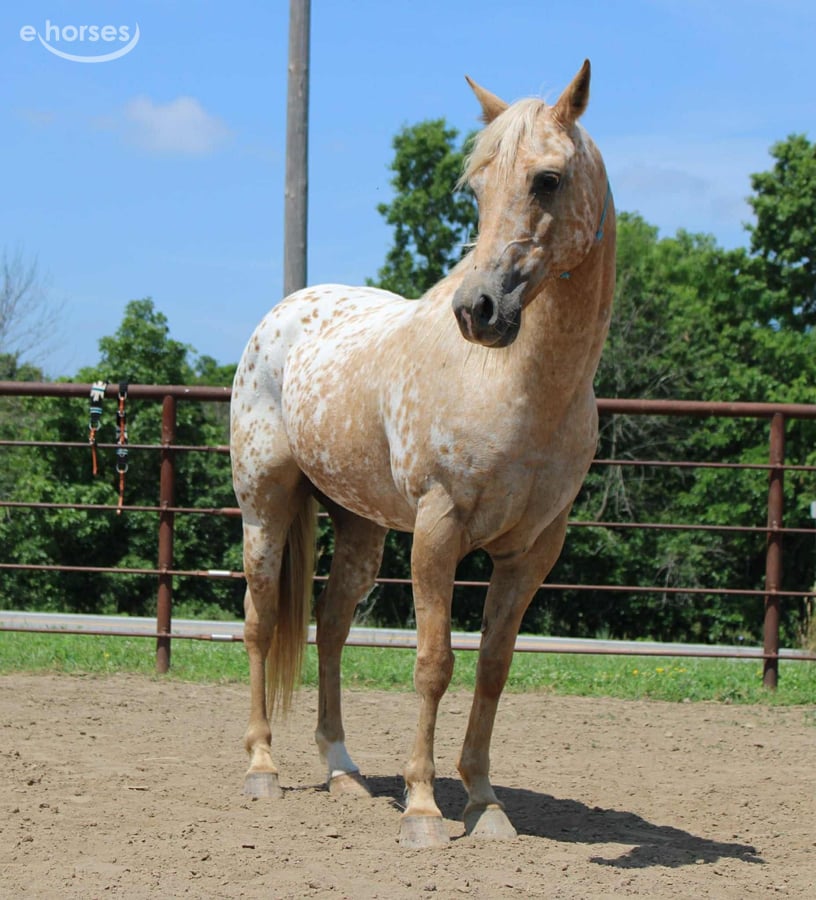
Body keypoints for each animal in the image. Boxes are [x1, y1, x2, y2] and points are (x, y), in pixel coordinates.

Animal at [230, 60, 616, 848]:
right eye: (476, 188)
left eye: (548, 180)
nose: (479, 310)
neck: (520, 387)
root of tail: (279, 317)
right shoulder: (439, 531)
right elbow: (434, 663)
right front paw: (423, 808)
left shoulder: (532, 551)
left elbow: (493, 667)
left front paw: (484, 802)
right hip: (264, 509)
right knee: (258, 622)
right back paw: (262, 769)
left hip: (360, 529)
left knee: (331, 629)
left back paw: (343, 770)